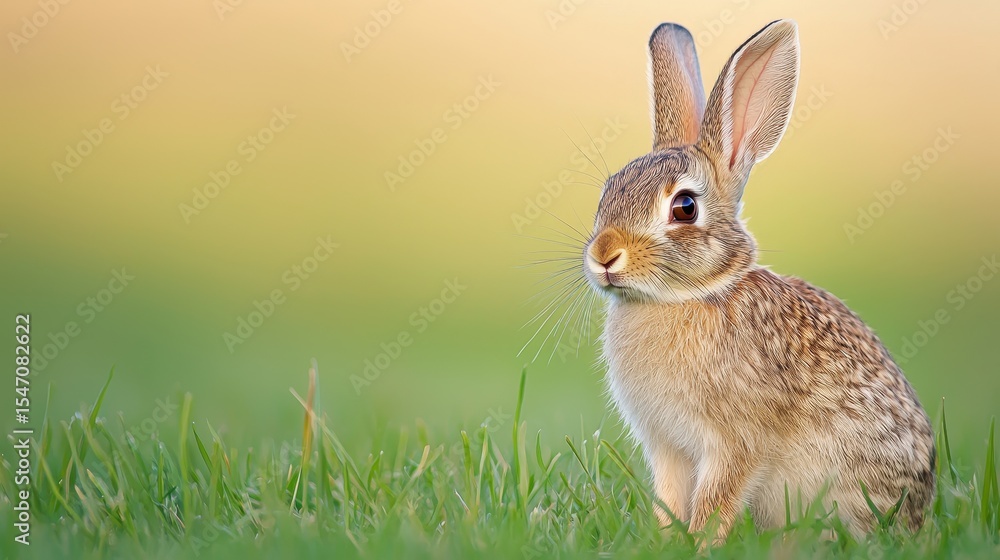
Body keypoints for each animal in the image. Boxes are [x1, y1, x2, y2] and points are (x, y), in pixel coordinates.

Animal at [583, 20, 935, 542]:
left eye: (684, 207)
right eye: (608, 192)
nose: (604, 256)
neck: (689, 295)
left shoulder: (736, 441)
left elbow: (717, 500)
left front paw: (702, 544)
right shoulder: (667, 447)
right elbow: (669, 500)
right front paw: (664, 541)